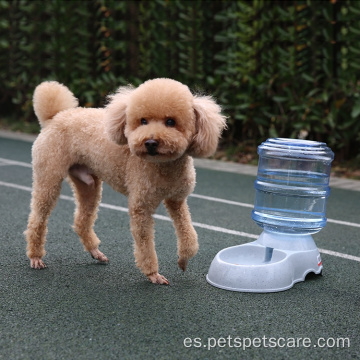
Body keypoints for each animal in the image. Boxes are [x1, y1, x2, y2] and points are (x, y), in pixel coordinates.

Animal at [25, 79, 226, 284]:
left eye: (171, 121)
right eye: (143, 121)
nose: (150, 142)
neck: (164, 166)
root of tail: (54, 117)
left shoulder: (176, 200)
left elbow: (189, 234)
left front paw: (183, 260)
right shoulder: (141, 207)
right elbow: (145, 244)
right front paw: (153, 274)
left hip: (88, 184)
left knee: (81, 220)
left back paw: (95, 252)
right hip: (49, 177)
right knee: (37, 218)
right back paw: (35, 256)